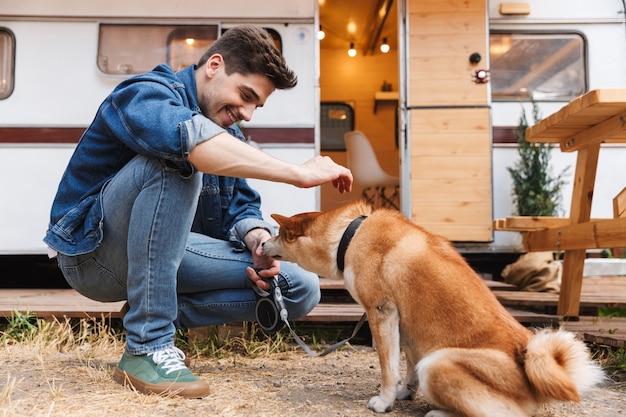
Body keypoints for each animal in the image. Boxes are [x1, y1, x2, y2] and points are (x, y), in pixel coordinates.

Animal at [260, 200, 604, 414]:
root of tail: (529, 364)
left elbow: (388, 368)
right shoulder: (406, 323)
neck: (350, 235)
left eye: (277, 233)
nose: (261, 243)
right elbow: (407, 364)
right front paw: (405, 392)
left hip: (438, 364)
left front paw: (385, 402)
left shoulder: (381, 313)